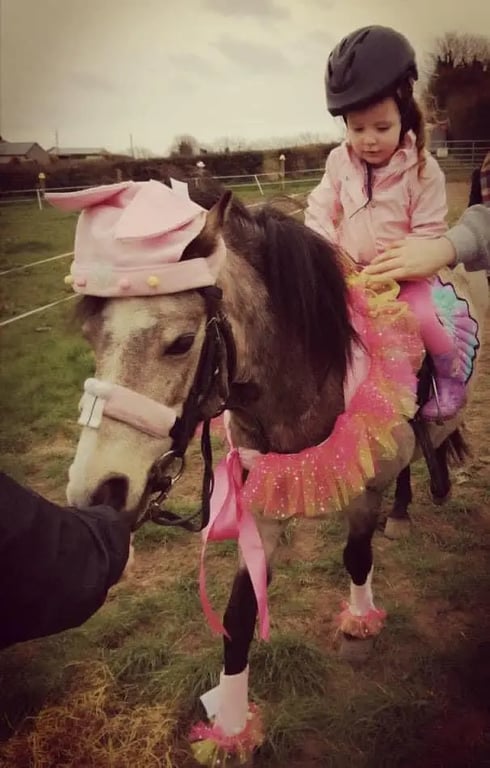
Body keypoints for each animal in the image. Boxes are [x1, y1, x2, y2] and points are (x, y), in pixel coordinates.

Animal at [48, 180, 488, 764]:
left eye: (181, 342)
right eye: (92, 337)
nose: (99, 490)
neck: (306, 379)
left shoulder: (363, 488)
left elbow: (356, 556)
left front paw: (359, 626)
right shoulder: (261, 505)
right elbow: (238, 618)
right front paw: (232, 731)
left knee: (422, 449)